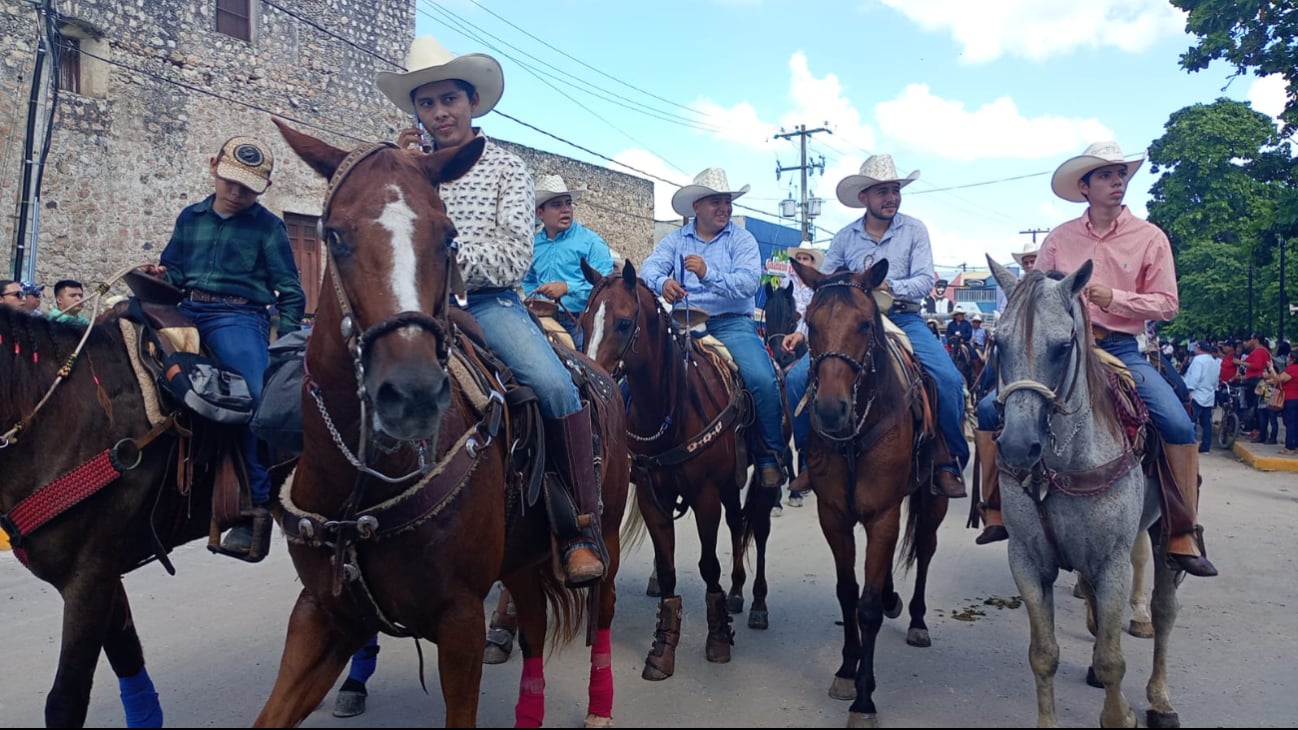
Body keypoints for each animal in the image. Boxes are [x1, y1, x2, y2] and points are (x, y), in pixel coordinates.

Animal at [253, 122, 628, 722]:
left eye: (449, 237)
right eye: (334, 235)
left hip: (606, 533)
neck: (363, 487)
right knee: (534, 624)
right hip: (520, 559)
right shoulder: (322, 614)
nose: (412, 394)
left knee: (604, 605)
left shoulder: (460, 621)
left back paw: (599, 704)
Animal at [586, 262, 783, 680]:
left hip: (760, 480)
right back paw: (737, 592)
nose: (592, 378)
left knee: (757, 526)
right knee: (738, 523)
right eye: (582, 319)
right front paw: (663, 648)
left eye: (624, 323)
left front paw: (719, 638)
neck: (671, 410)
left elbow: (708, 565)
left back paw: (757, 603)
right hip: (730, 484)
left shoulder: (705, 496)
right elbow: (668, 570)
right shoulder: (652, 497)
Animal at [789, 258, 955, 722]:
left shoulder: (883, 515)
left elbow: (867, 605)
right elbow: (849, 594)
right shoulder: (834, 515)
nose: (830, 409)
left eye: (864, 324)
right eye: (810, 323)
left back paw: (916, 620)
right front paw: (847, 670)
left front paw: (864, 699)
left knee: (926, 550)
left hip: (931, 502)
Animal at [986, 258, 1183, 722]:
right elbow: (1043, 654)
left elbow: (1113, 659)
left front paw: (1120, 715)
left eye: (1062, 346)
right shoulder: (1027, 561)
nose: (1018, 445)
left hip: (1164, 530)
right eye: (998, 343)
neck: (1062, 467)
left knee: (1165, 610)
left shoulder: (1113, 563)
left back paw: (1160, 697)